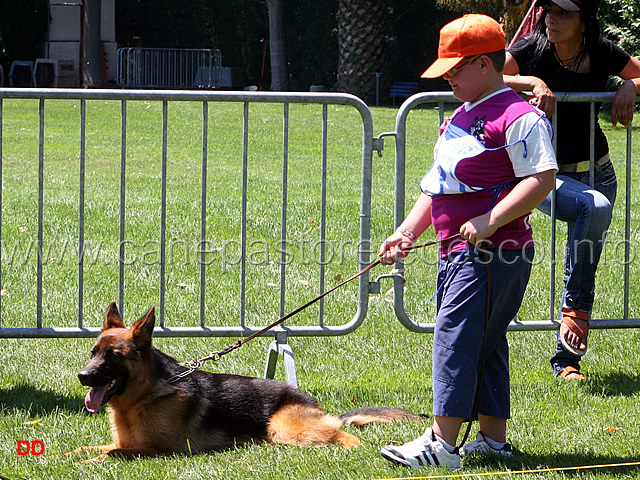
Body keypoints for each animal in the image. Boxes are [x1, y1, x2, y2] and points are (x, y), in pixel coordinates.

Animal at [69, 302, 420, 464]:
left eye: (113, 356)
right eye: (93, 353)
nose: (83, 376)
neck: (145, 395)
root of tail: (317, 406)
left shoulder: (160, 449)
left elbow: (111, 454)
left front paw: (85, 464)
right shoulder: (131, 443)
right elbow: (87, 447)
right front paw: (65, 456)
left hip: (284, 426)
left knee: (344, 435)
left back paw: (347, 445)